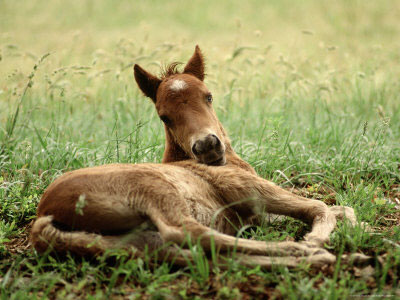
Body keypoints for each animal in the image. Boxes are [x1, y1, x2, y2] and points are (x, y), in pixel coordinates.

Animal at [31, 46, 356, 268]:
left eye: (208, 96)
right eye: (164, 116)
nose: (207, 146)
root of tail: (44, 212)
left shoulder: (257, 214)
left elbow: (340, 209)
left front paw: (354, 228)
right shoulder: (244, 188)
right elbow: (321, 207)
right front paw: (316, 238)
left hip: (128, 242)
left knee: (194, 253)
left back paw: (322, 258)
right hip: (151, 188)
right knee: (186, 232)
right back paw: (306, 250)